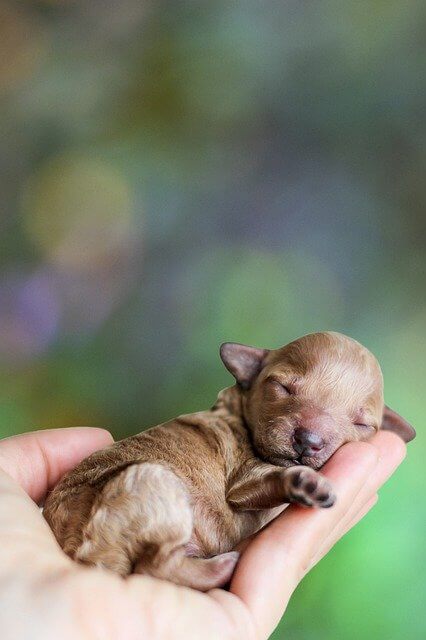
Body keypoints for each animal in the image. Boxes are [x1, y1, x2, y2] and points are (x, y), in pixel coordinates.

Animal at [44, 336, 416, 592]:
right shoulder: (244, 479)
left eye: (362, 424)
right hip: (153, 480)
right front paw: (304, 483)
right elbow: (271, 478)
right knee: (154, 565)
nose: (308, 439)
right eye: (282, 387)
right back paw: (223, 566)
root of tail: (82, 554)